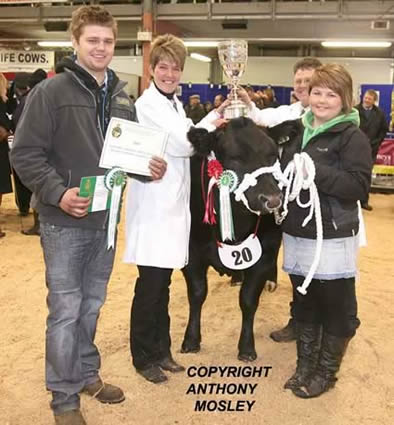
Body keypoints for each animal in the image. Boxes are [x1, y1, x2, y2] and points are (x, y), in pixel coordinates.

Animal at [182, 117, 284, 362]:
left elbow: (248, 300)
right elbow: (197, 294)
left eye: (272, 155)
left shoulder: (264, 253)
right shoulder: (191, 253)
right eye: (235, 157)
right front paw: (191, 340)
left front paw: (246, 348)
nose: (272, 199)